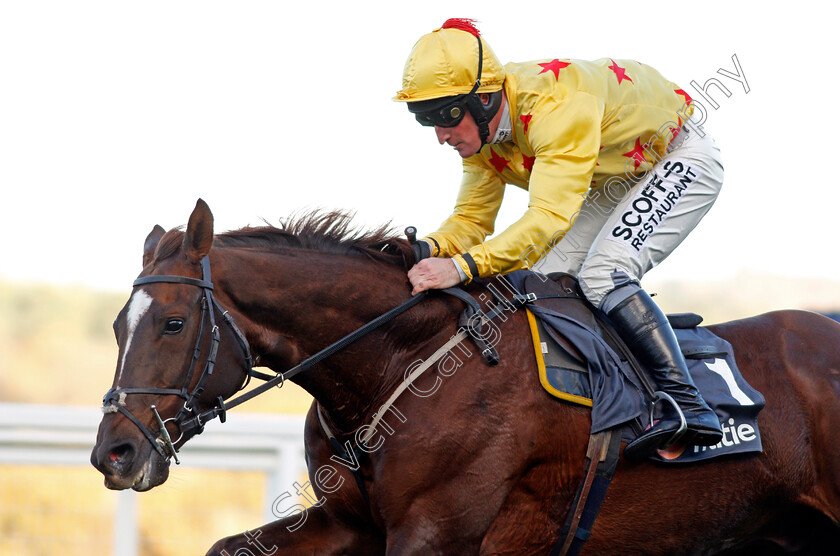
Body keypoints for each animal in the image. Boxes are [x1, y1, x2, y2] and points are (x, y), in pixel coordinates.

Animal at [92, 201, 840, 556]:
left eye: (173, 324)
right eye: (117, 326)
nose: (113, 453)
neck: (400, 364)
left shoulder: (436, 534)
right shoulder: (350, 526)